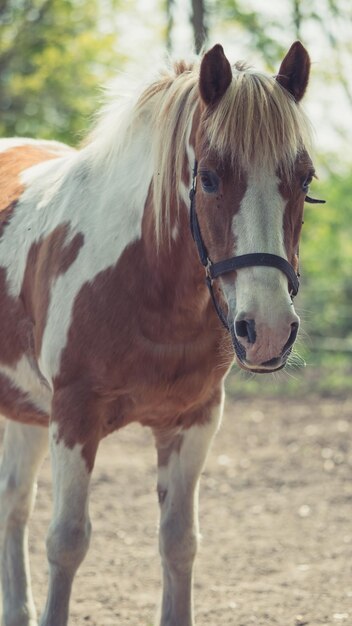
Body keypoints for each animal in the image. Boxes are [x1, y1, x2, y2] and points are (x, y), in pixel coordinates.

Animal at [0, 41, 320, 620]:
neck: (147, 283)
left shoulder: (193, 421)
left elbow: (179, 542)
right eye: (209, 176)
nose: (266, 330)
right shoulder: (73, 416)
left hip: (25, 408)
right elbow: (67, 541)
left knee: (14, 502)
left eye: (304, 179)